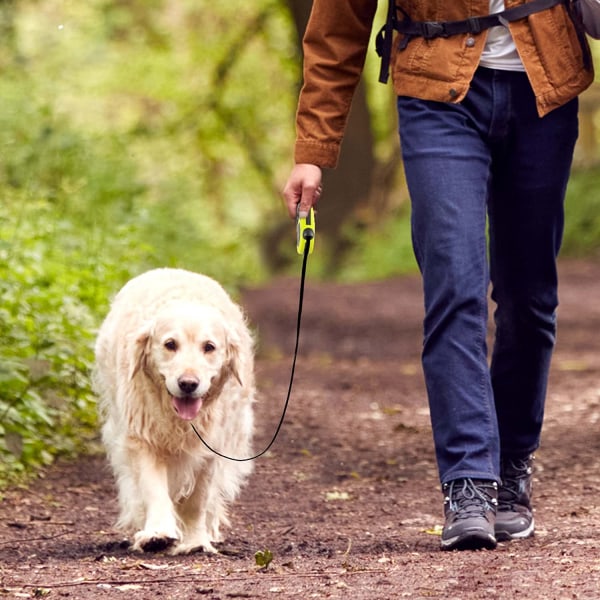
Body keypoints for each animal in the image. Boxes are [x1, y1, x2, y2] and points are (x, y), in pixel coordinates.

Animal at [92, 268, 254, 552]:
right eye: (170, 344)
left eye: (209, 347)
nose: (188, 384)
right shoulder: (142, 438)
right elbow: (154, 488)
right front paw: (157, 533)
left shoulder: (210, 446)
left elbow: (198, 499)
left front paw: (195, 541)